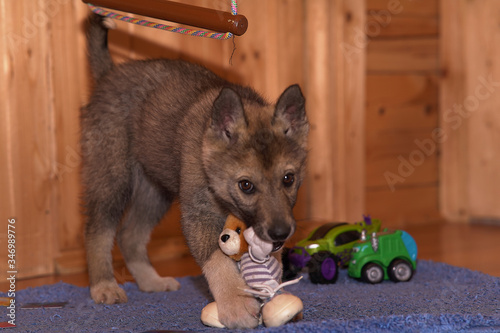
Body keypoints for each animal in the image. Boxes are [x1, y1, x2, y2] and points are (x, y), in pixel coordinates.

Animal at [82, 13, 308, 326]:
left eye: (288, 178)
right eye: (246, 185)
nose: (279, 233)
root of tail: (110, 74)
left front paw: (268, 292)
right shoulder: (199, 215)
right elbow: (218, 260)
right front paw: (235, 304)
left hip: (154, 191)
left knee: (130, 235)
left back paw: (150, 281)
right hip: (112, 179)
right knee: (98, 232)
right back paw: (104, 285)